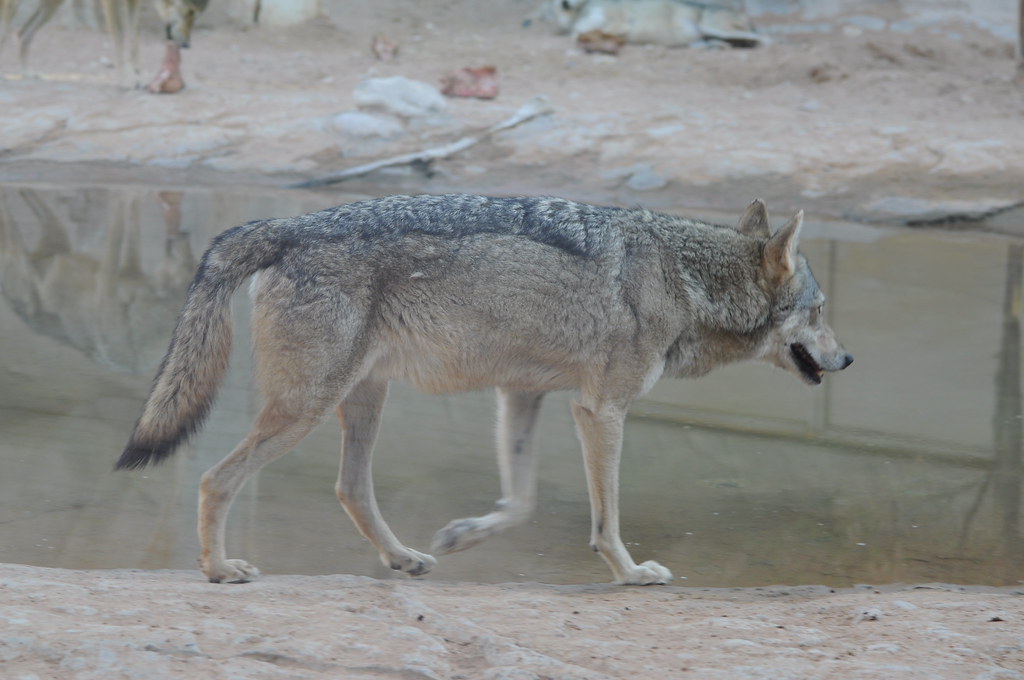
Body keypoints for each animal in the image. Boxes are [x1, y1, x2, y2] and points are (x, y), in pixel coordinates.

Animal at [117, 194, 852, 585]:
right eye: (819, 311)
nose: (848, 357)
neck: (685, 277)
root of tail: (284, 223)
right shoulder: (601, 411)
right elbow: (607, 517)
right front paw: (630, 573)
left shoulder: (523, 396)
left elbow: (521, 502)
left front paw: (464, 534)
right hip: (307, 407)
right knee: (214, 478)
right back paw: (218, 570)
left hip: (361, 400)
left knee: (350, 489)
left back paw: (404, 557)